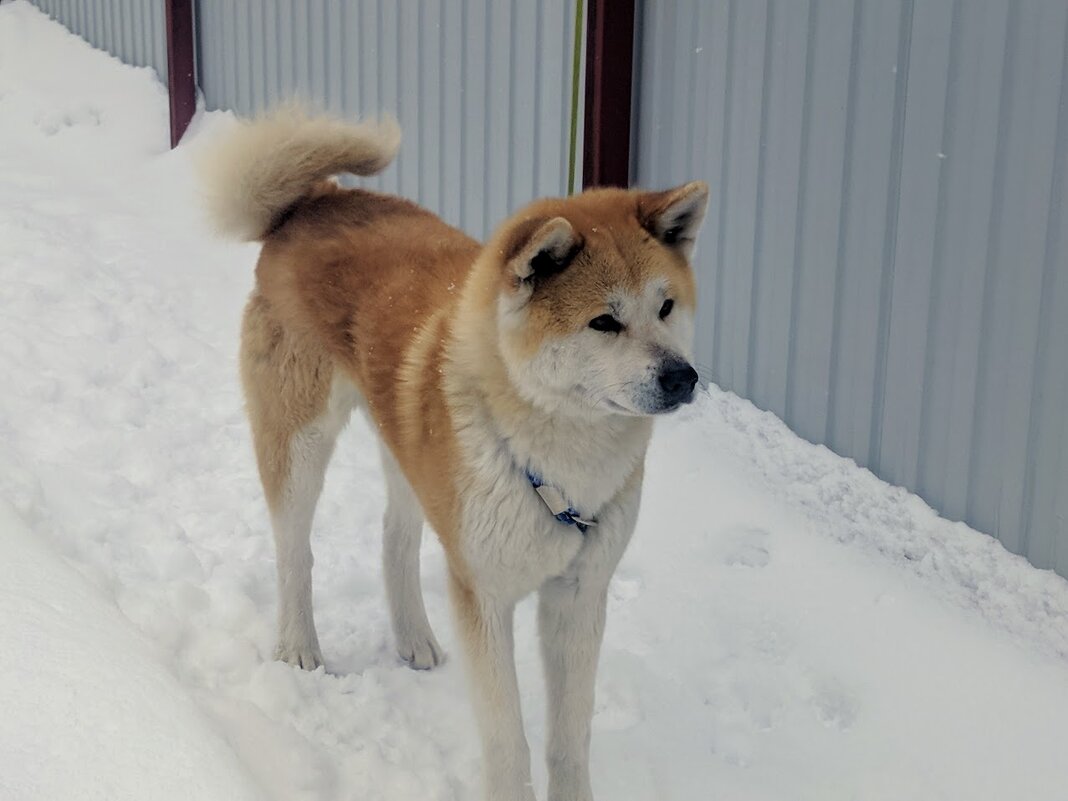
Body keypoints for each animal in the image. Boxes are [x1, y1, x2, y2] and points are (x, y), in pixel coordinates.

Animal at [202, 108, 709, 801]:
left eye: (666, 307)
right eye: (604, 322)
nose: (683, 377)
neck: (561, 459)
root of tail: (317, 199)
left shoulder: (579, 596)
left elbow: (569, 740)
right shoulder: (485, 597)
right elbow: (509, 742)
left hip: (408, 448)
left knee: (395, 538)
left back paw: (413, 637)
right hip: (298, 442)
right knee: (295, 552)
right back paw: (299, 646)